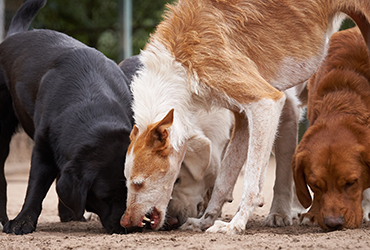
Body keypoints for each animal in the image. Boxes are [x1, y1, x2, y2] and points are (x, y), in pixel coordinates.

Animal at [0, 0, 133, 234]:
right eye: (105, 197)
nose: (129, 226)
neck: (91, 104)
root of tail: (13, 36)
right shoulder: (42, 149)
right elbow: (36, 187)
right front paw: (22, 221)